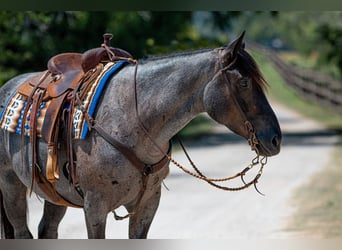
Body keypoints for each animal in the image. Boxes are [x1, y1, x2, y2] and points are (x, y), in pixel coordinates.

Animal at [0, 32, 280, 238]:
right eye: (244, 83)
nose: (275, 139)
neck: (132, 120)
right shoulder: (95, 207)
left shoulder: (147, 205)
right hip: (10, 184)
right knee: (22, 232)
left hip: (55, 194)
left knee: (47, 229)